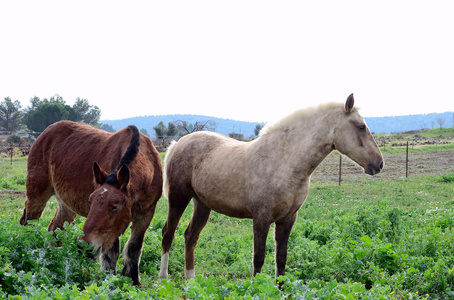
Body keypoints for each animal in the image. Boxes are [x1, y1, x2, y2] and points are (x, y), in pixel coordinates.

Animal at [19, 120, 162, 286]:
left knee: (55, 230)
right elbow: (111, 254)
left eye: (114, 207)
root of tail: (48, 130)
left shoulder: (145, 215)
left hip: (66, 207)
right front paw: (110, 282)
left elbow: (134, 248)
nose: (83, 248)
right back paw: (29, 251)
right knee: (28, 223)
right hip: (37, 198)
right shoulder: (111, 231)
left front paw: (133, 281)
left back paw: (56, 259)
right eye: (90, 201)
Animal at [159, 93, 384, 278]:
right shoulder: (261, 218)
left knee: (190, 237)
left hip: (202, 204)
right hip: (178, 199)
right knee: (168, 233)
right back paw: (163, 279)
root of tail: (177, 143)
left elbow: (281, 259)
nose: (379, 163)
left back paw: (190, 281)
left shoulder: (287, 219)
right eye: (361, 126)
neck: (284, 162)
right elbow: (258, 259)